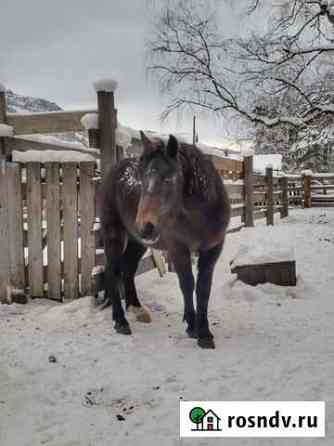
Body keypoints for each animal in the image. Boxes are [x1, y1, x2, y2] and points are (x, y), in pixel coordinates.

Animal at [99, 132, 230, 348]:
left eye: (169, 178)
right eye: (141, 178)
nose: (145, 226)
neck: (199, 217)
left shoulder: (212, 250)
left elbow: (203, 289)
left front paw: (205, 333)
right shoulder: (178, 249)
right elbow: (187, 284)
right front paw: (192, 326)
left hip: (138, 242)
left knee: (128, 268)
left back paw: (137, 308)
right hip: (114, 233)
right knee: (113, 271)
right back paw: (120, 321)